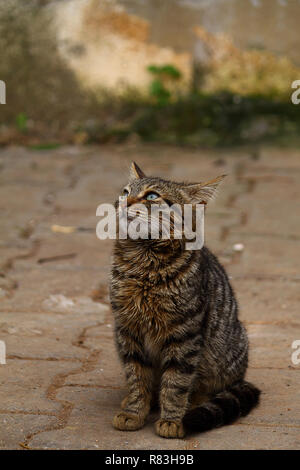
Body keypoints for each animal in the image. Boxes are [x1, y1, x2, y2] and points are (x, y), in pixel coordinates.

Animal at [110, 162, 260, 436]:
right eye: (125, 191)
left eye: (151, 196)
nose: (123, 202)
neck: (143, 260)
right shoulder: (127, 330)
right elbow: (137, 377)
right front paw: (134, 412)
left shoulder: (184, 335)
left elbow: (175, 383)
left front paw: (172, 420)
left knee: (207, 390)